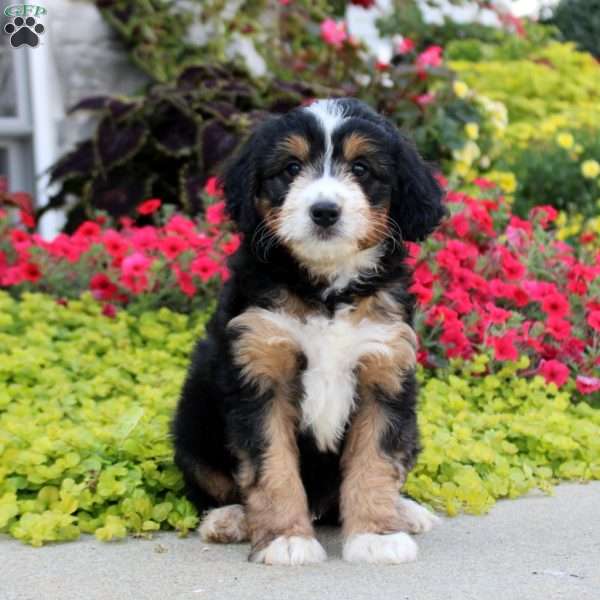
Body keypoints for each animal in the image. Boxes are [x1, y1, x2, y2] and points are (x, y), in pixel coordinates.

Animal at [173, 97, 446, 564]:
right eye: (291, 167)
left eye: (361, 168)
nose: (324, 211)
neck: (326, 290)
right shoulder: (260, 371)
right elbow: (271, 468)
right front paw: (285, 540)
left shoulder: (384, 370)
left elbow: (374, 462)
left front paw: (376, 536)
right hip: (192, 420)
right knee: (212, 484)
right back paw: (229, 519)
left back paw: (405, 510)